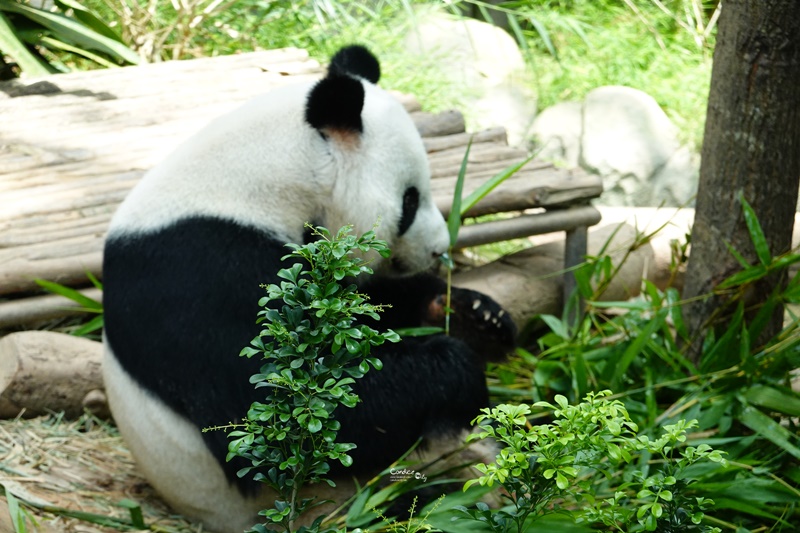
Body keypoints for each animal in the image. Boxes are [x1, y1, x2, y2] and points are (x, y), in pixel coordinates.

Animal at [103, 45, 516, 532]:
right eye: (411, 201)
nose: (439, 248)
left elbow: (369, 310)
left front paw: (475, 315)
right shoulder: (203, 276)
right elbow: (288, 407)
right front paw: (459, 370)